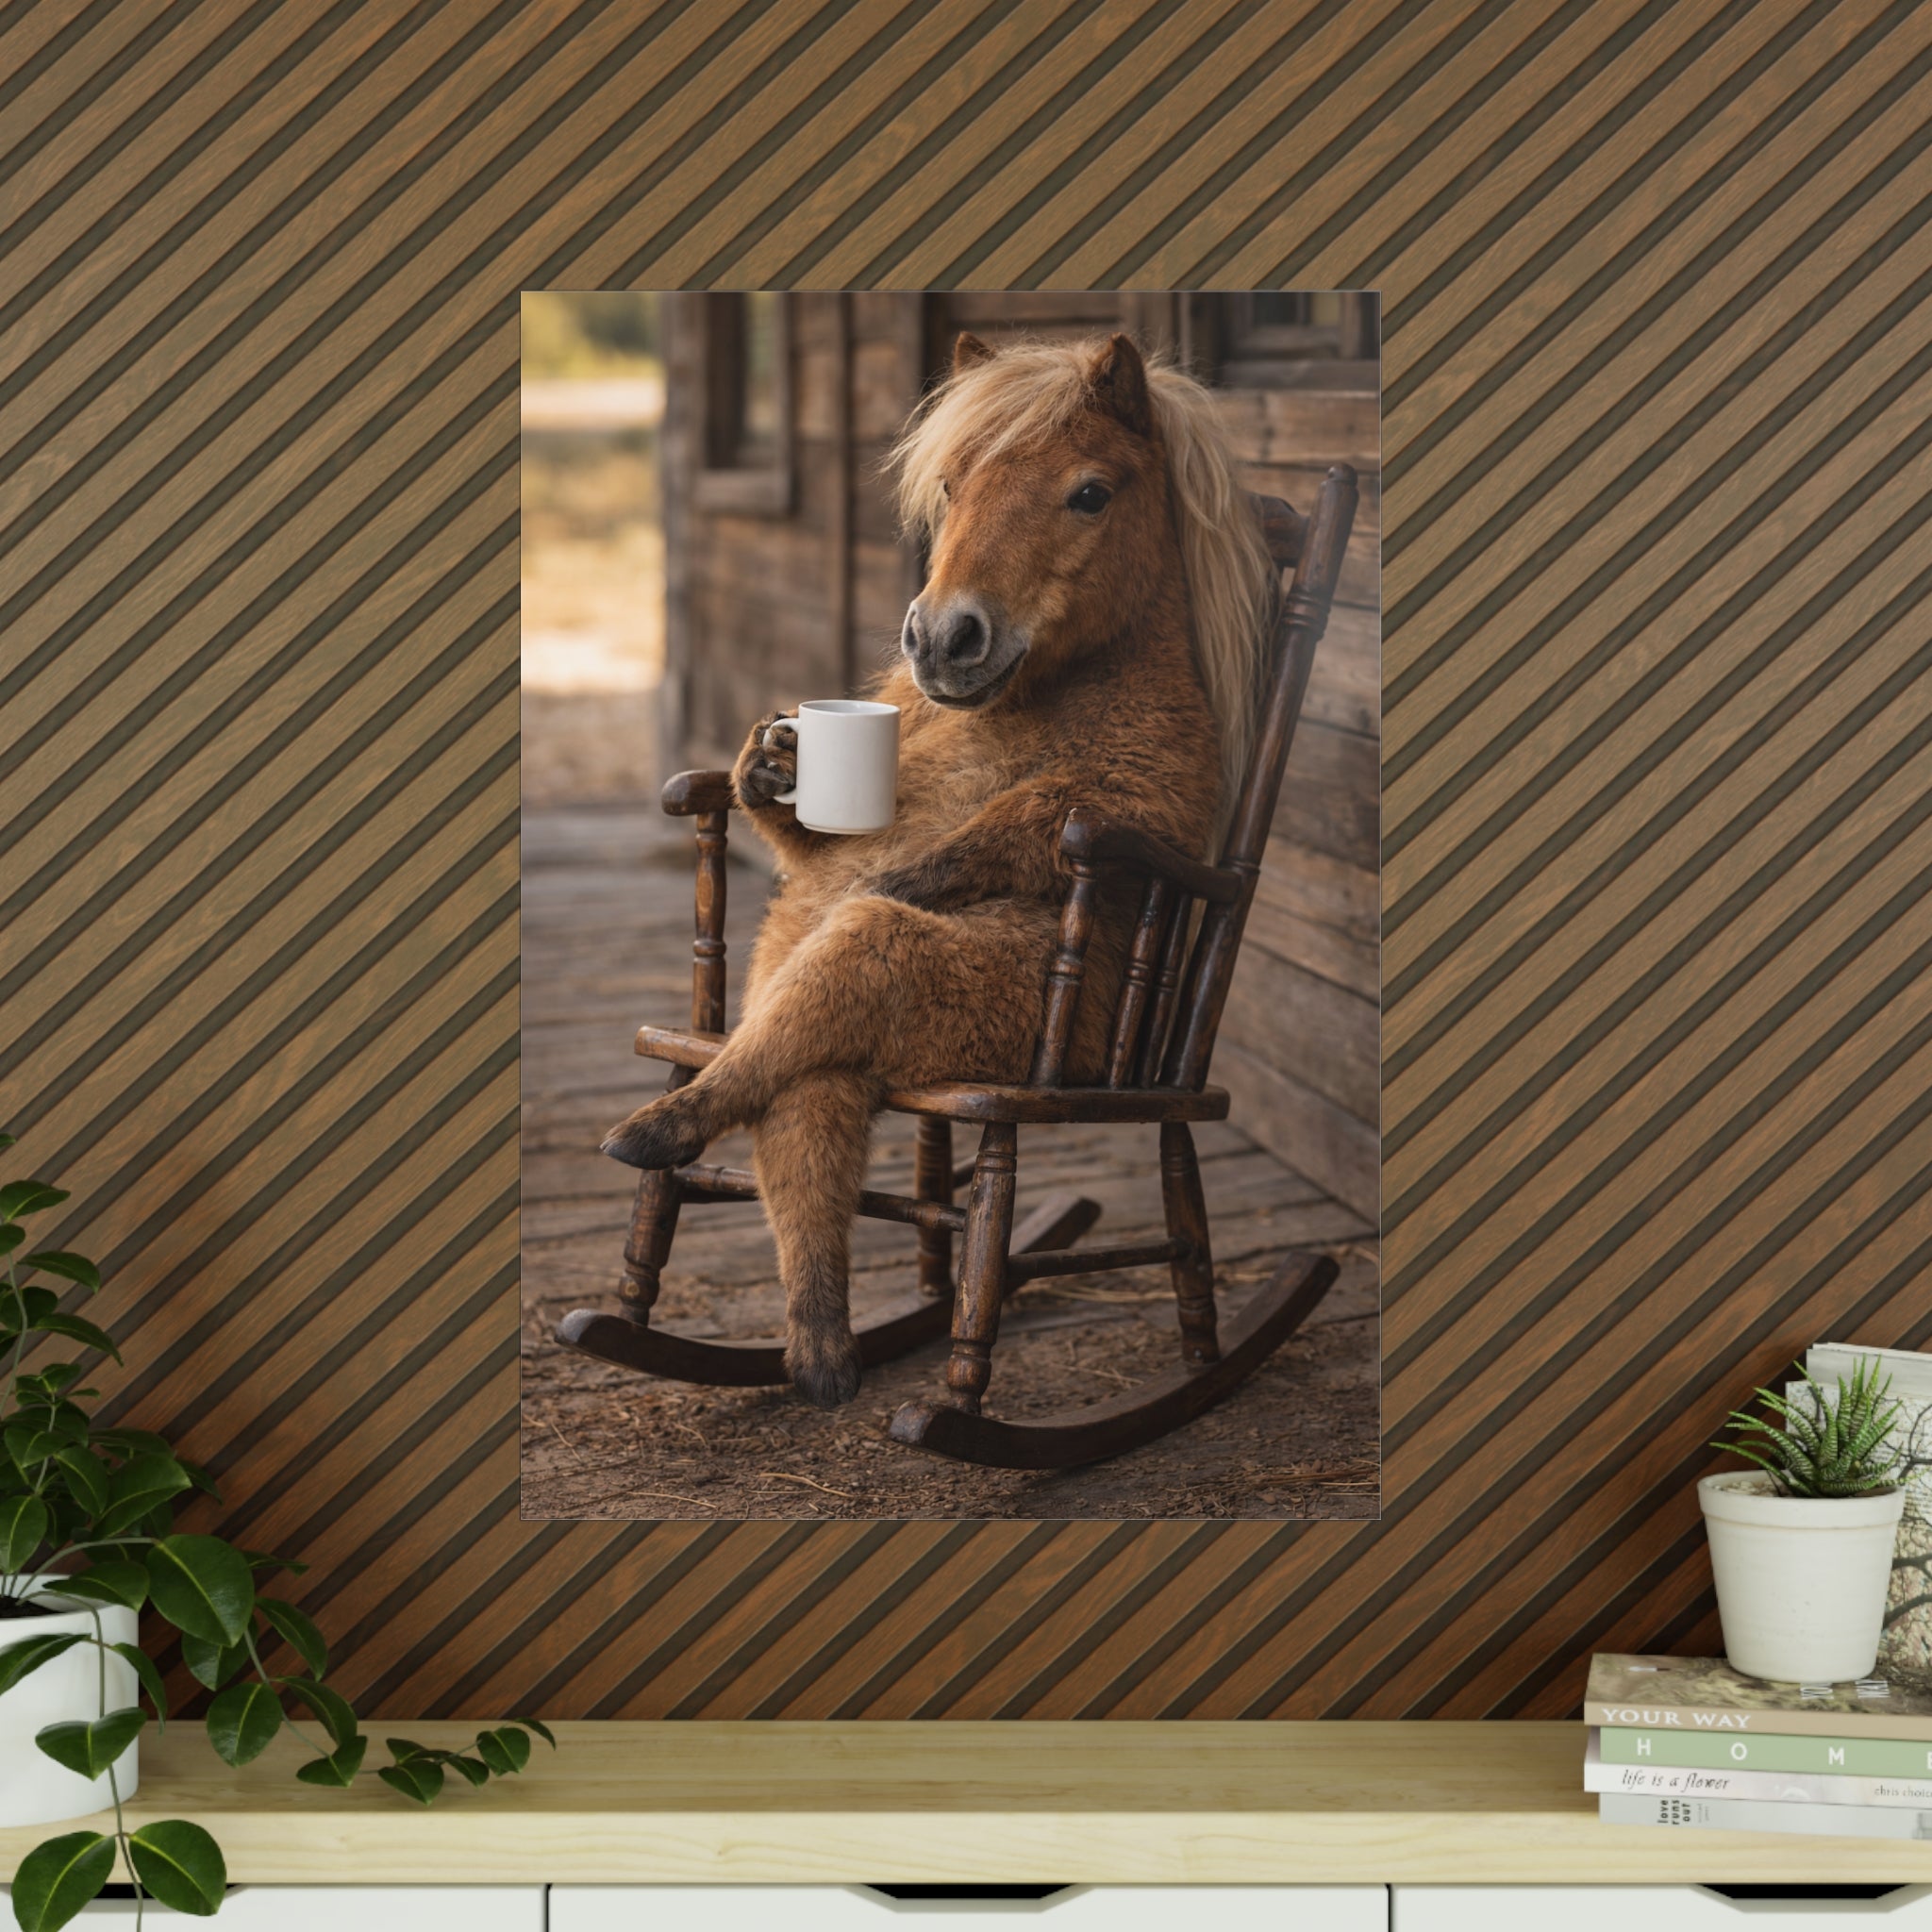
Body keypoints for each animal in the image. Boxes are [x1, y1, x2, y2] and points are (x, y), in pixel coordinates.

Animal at [601, 329, 1274, 1410]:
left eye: (1091, 493)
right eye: (951, 485)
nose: (943, 639)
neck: (1052, 689)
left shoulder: (1151, 787)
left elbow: (1045, 827)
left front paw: (910, 872)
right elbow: (810, 839)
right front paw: (768, 767)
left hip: (969, 1006)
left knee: (850, 973)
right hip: (801, 990)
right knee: (807, 1111)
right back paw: (819, 1347)